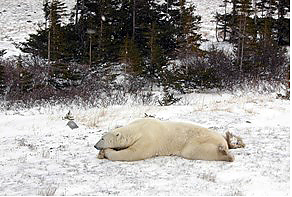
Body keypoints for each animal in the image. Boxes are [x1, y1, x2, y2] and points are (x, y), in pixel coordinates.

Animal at [94, 118, 244, 162]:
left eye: (102, 138)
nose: (95, 146)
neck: (138, 128)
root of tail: (221, 141)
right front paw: (101, 153)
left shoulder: (148, 140)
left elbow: (133, 153)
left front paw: (106, 152)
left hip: (197, 141)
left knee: (193, 151)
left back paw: (227, 154)